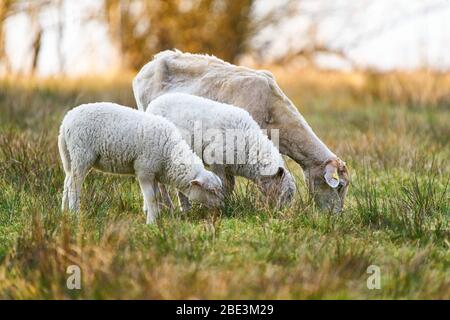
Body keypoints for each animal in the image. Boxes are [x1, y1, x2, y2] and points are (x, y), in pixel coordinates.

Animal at [57, 102, 224, 222]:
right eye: (211, 191)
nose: (222, 207)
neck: (169, 154)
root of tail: (66, 121)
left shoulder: (154, 173)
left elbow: (156, 196)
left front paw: (156, 215)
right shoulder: (144, 170)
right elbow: (151, 197)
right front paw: (151, 222)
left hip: (70, 157)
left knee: (66, 182)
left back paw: (64, 212)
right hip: (82, 155)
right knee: (74, 185)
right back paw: (75, 214)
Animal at [146, 92, 298, 210]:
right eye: (285, 194)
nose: (283, 213)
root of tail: (152, 105)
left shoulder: (229, 168)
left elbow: (229, 186)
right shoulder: (217, 161)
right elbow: (222, 184)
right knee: (162, 184)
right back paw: (171, 206)